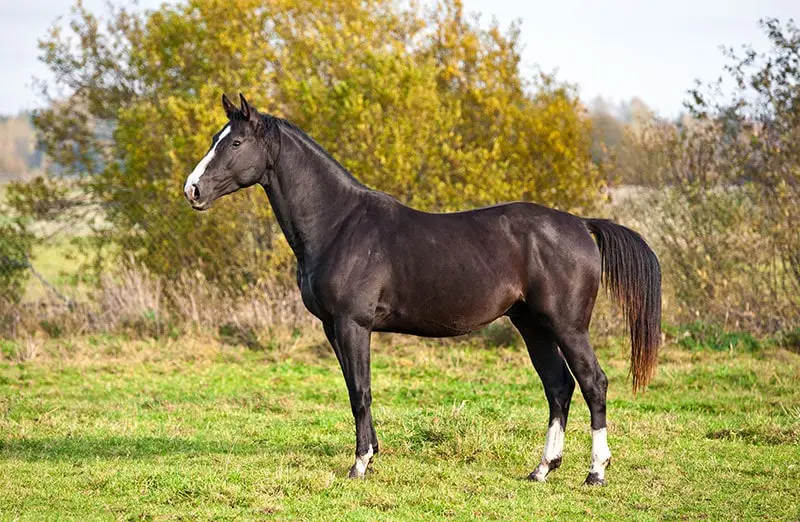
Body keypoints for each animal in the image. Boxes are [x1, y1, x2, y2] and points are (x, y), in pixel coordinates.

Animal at [183, 92, 664, 484]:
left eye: (235, 143)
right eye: (214, 138)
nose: (193, 190)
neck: (339, 223)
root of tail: (581, 225)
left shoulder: (353, 324)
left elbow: (361, 391)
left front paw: (359, 465)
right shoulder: (332, 328)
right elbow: (353, 388)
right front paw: (372, 453)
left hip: (567, 326)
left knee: (593, 384)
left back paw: (595, 472)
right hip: (533, 325)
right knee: (559, 387)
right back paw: (542, 469)